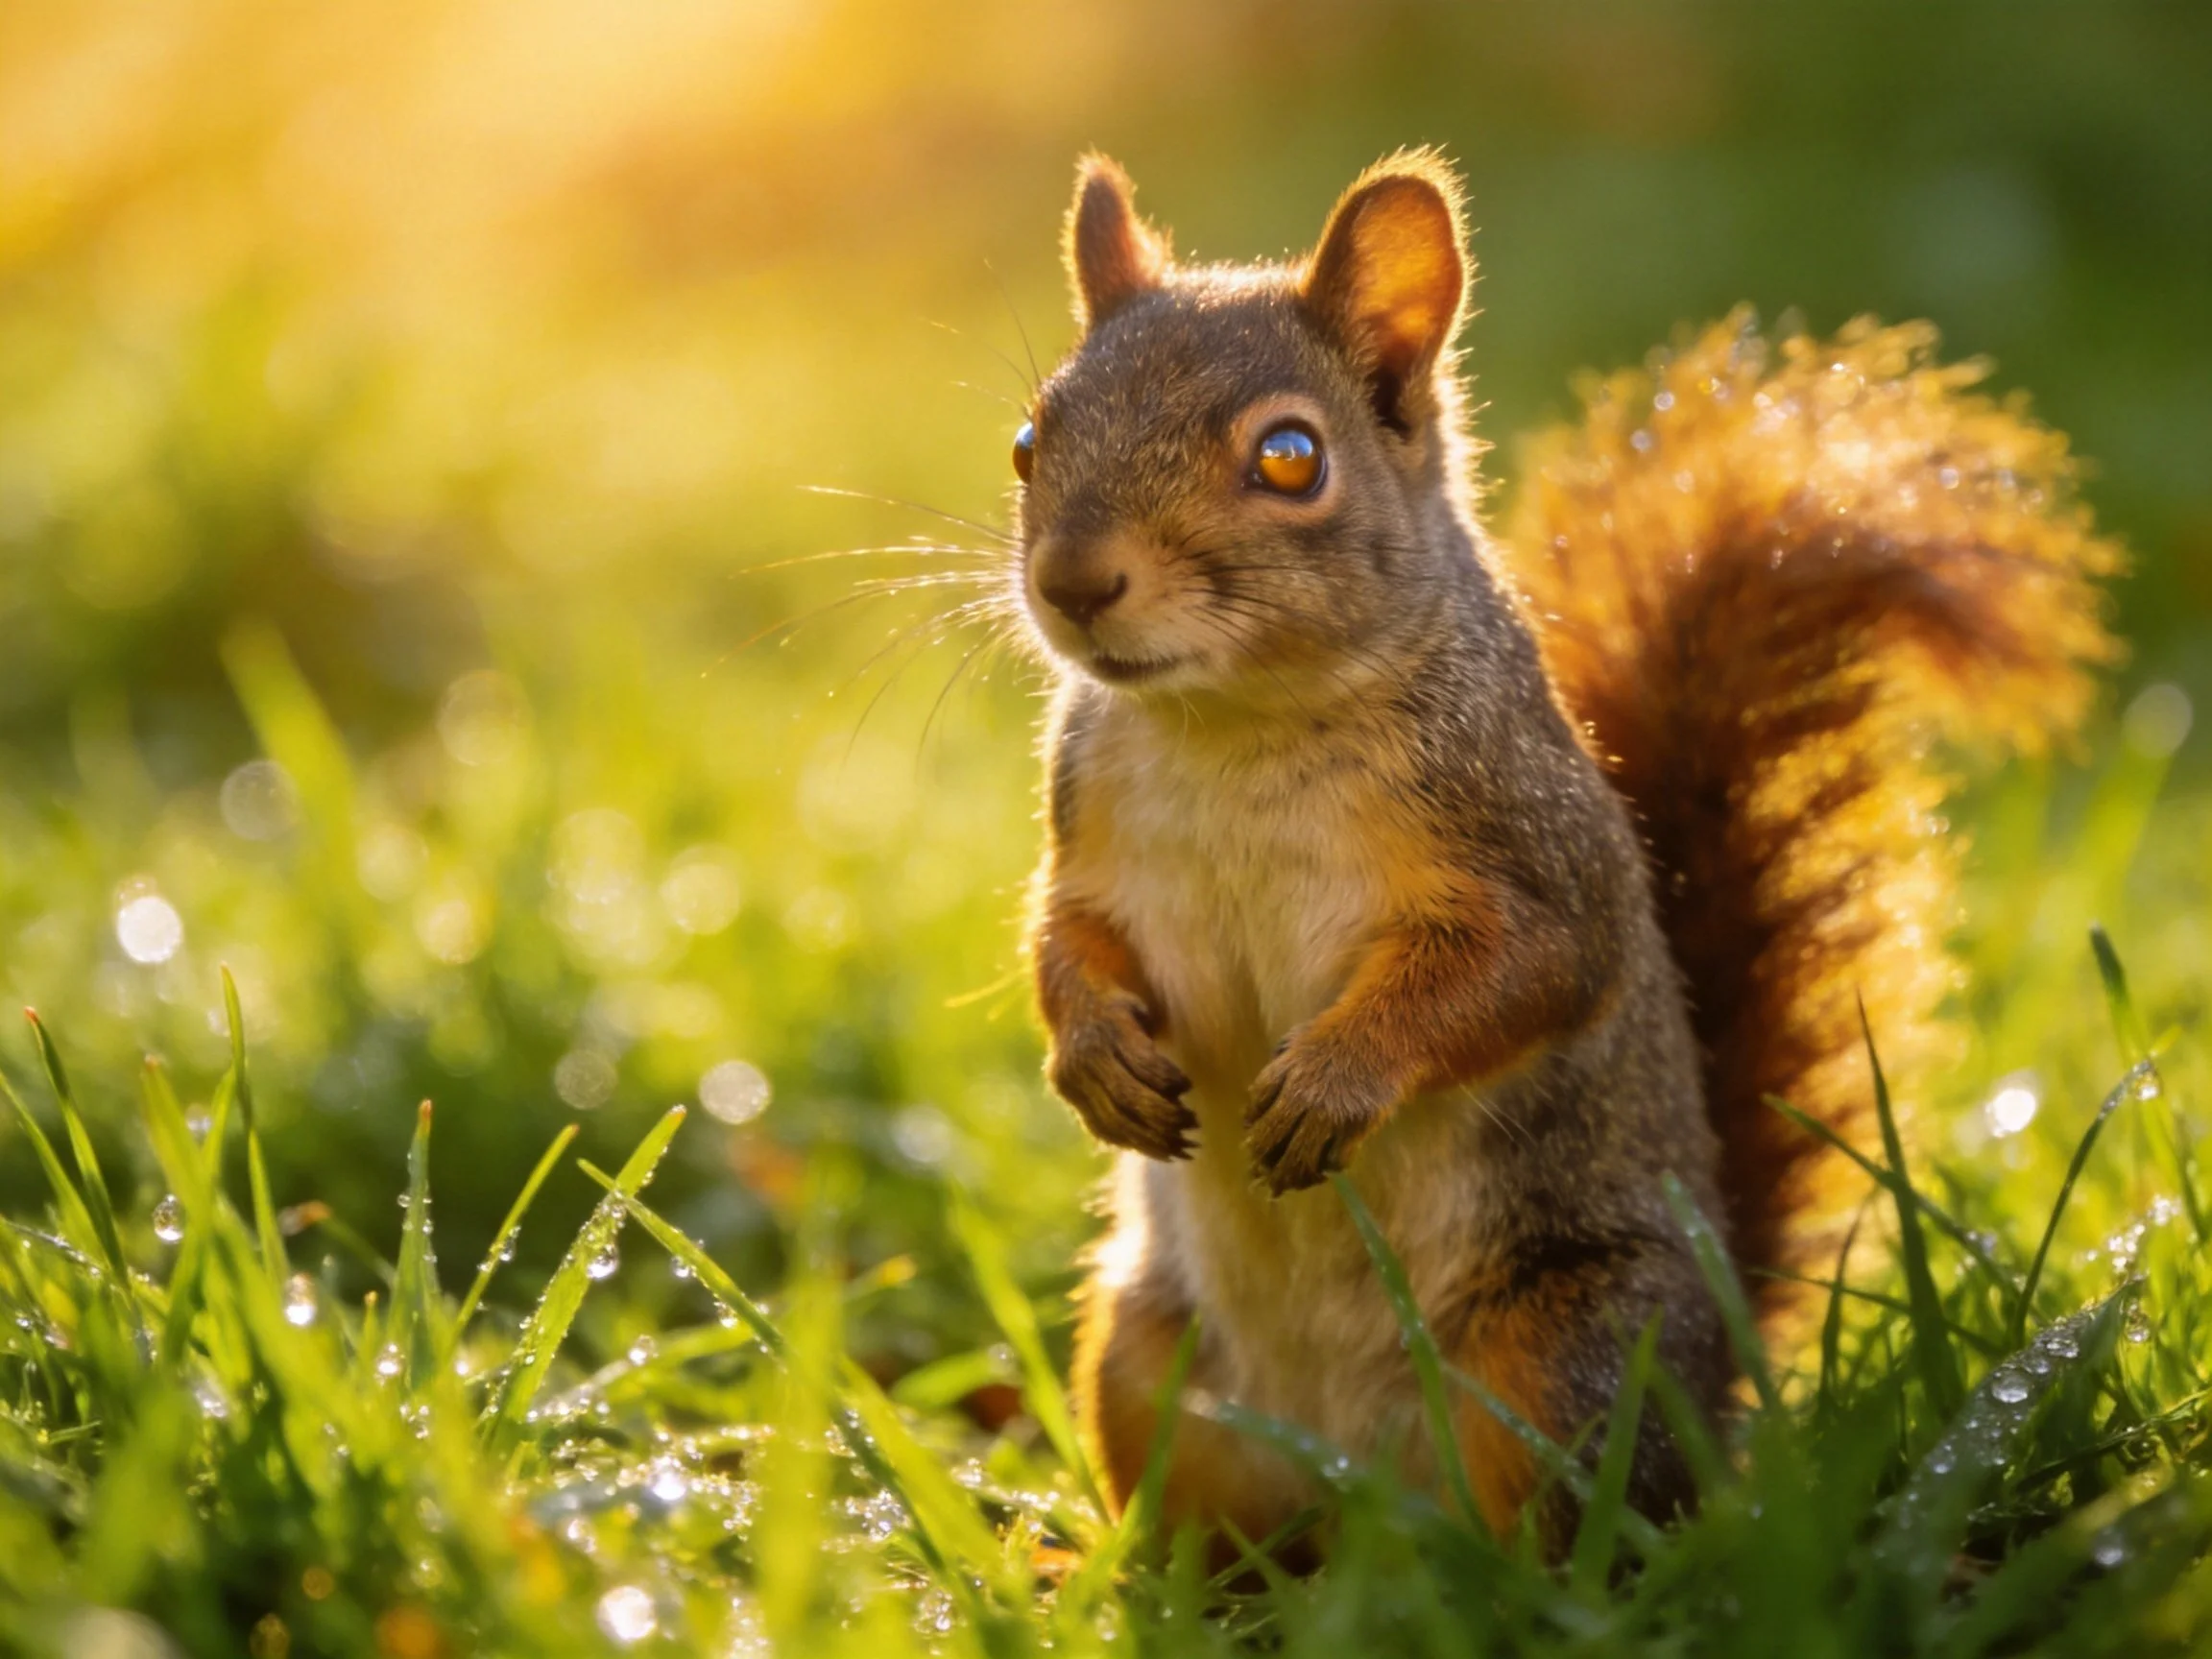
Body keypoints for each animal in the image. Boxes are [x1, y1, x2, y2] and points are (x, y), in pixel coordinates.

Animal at [1009, 149, 2119, 1552]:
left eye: (1291, 457)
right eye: (1029, 442)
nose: (1073, 582)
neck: (1235, 727)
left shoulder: (1532, 839)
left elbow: (1527, 971)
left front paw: (1336, 1078)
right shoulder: (1089, 833)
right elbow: (1064, 939)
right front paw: (1092, 1053)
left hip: (1565, 1360)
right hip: (1146, 1358)